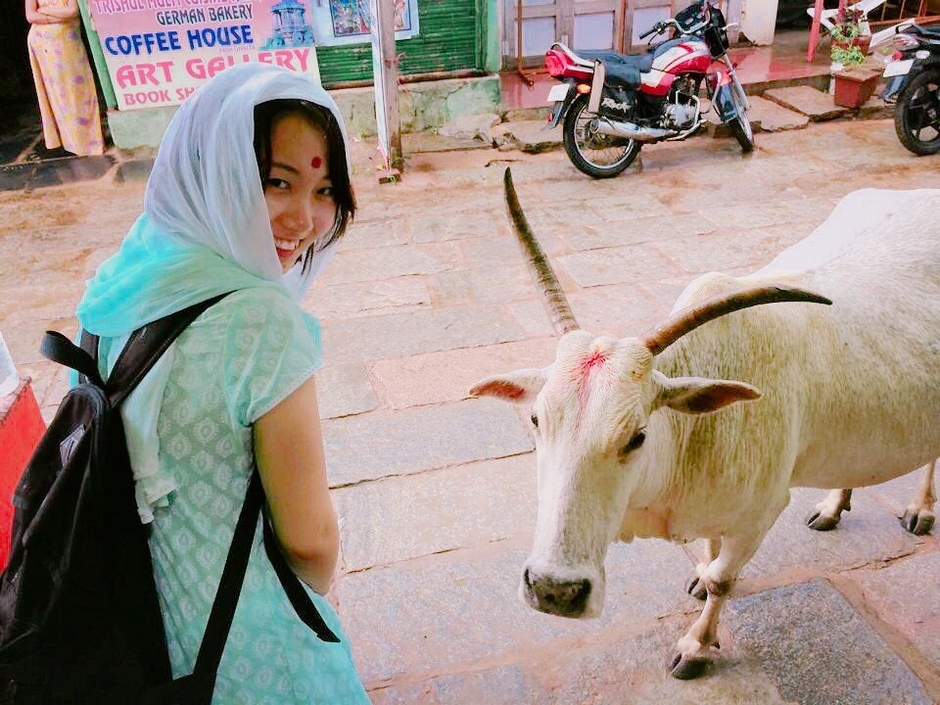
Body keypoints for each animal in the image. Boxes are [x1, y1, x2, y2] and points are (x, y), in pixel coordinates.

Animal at [474, 180, 936, 676]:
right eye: (536, 420)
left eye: (638, 435)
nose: (555, 591)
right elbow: (709, 552)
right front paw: (697, 576)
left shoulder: (761, 514)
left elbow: (722, 581)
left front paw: (696, 646)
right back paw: (834, 506)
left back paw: (920, 510)